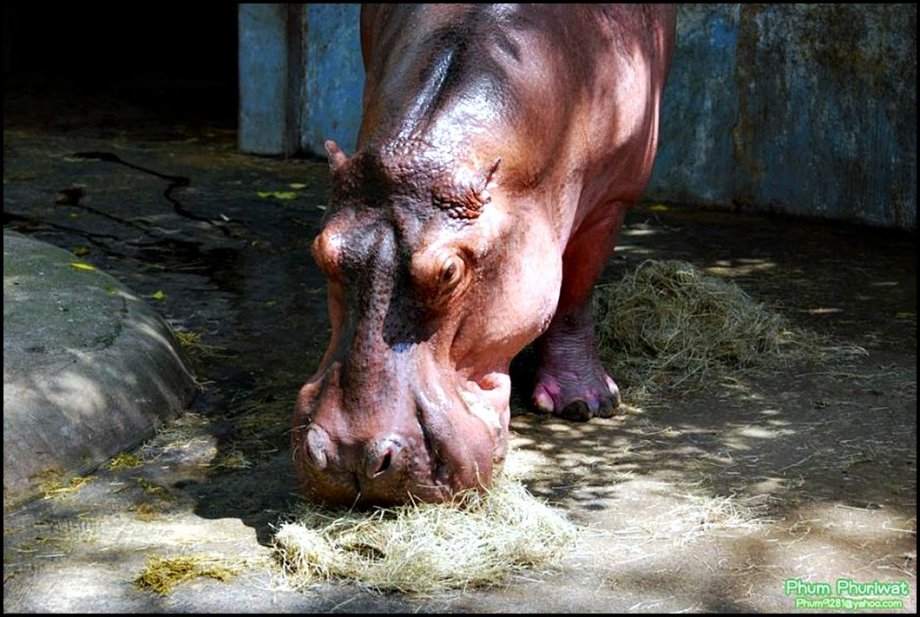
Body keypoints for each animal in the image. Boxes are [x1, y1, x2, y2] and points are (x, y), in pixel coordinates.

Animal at [293, 4, 677, 506]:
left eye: (450, 271)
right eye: (322, 251)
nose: (351, 456)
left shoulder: (612, 202)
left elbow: (575, 292)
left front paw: (586, 405)